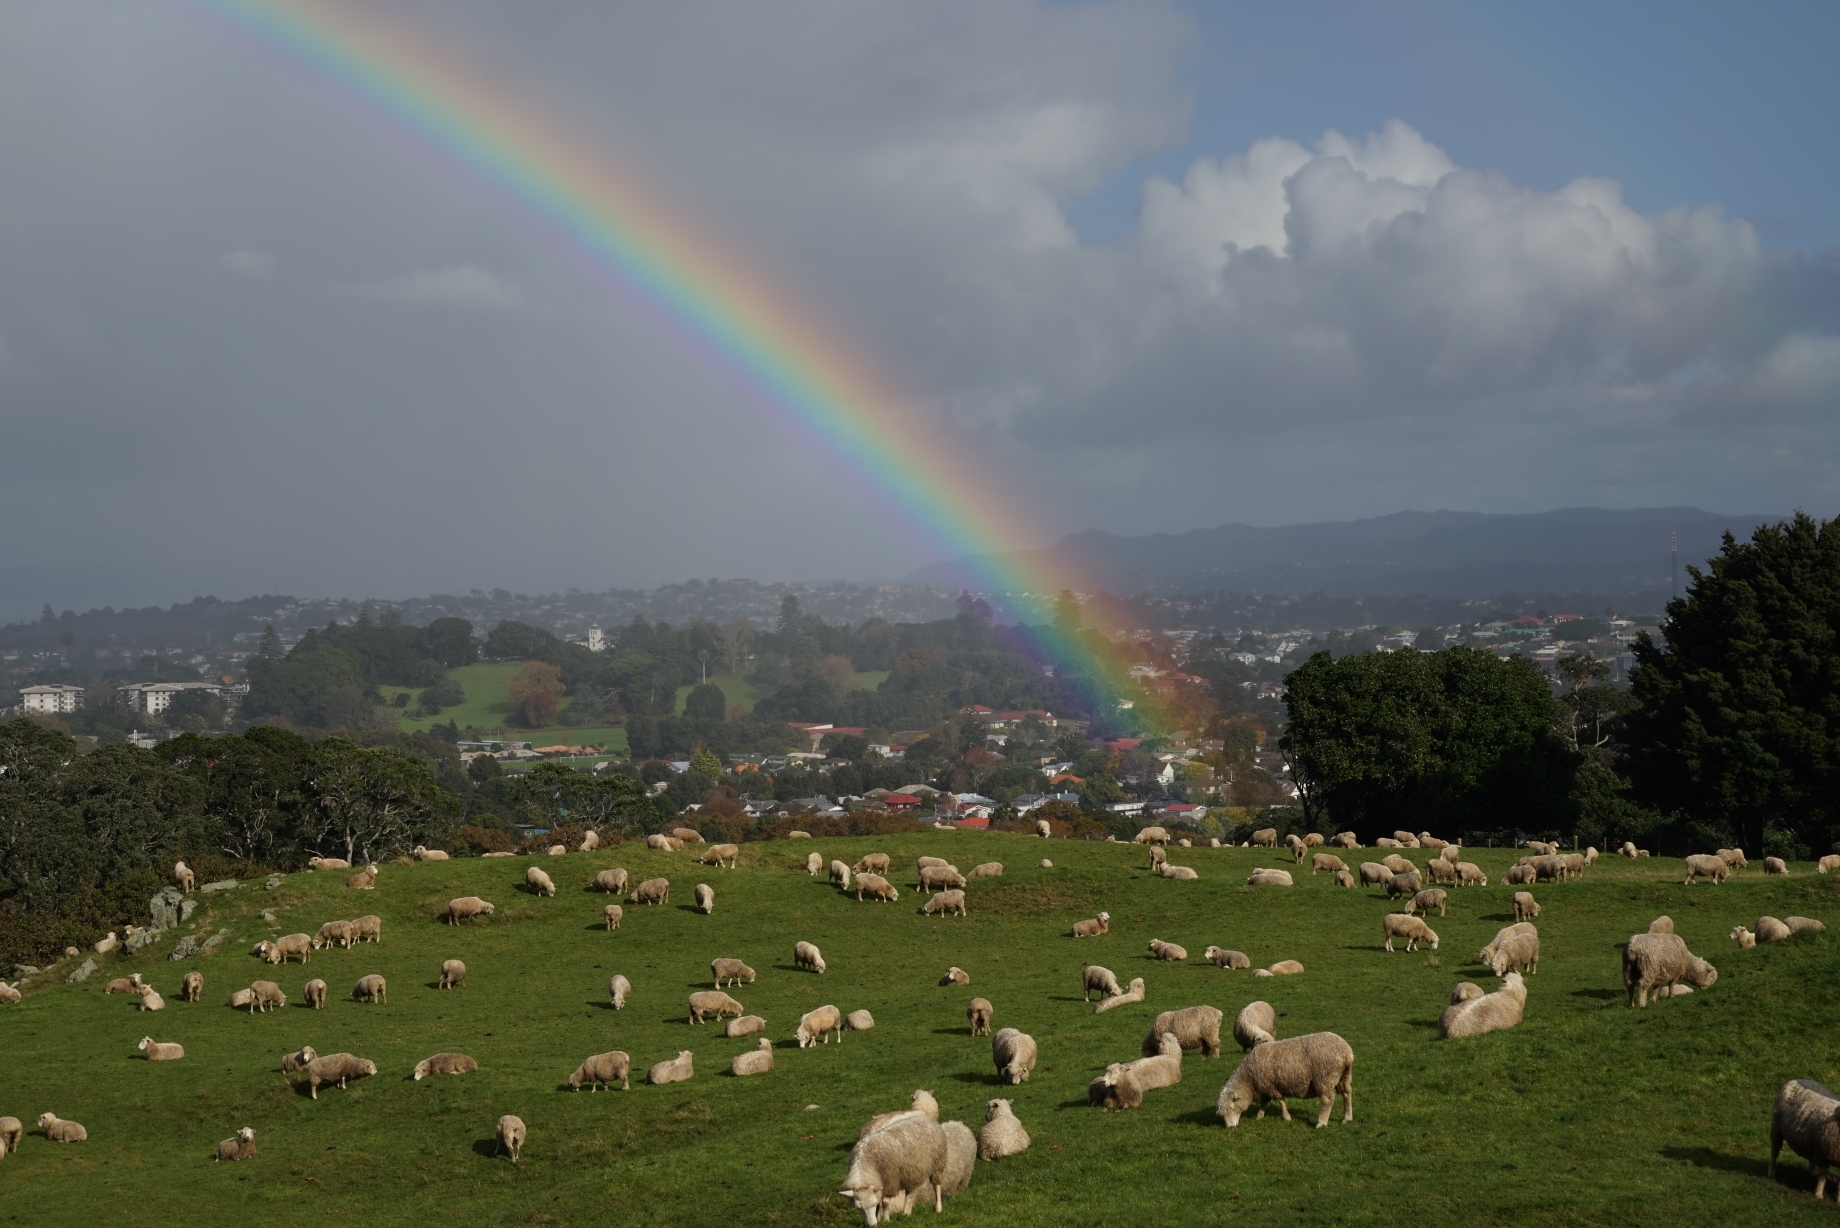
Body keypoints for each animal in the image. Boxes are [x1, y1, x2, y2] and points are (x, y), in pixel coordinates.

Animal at [1221, 1031, 1354, 1126]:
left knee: (1328, 1100)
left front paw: (1286, 1117)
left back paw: (1321, 1122)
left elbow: (1280, 1101)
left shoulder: (1271, 1087)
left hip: (1324, 1078)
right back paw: (1347, 1118)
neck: (1248, 1079)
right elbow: (1264, 1103)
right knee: (1347, 1093)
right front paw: (1259, 1116)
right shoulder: (1264, 1087)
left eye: (1231, 1108)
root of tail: (1347, 1053)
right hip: (1344, 1076)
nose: (1230, 1127)